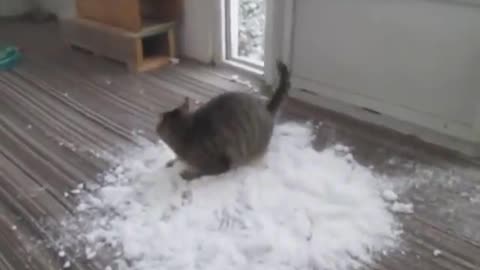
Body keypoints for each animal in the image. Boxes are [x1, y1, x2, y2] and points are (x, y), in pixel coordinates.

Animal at [157, 60, 288, 179]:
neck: (186, 132)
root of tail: (266, 109)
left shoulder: (219, 164)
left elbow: (201, 172)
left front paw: (187, 173)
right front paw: (173, 161)